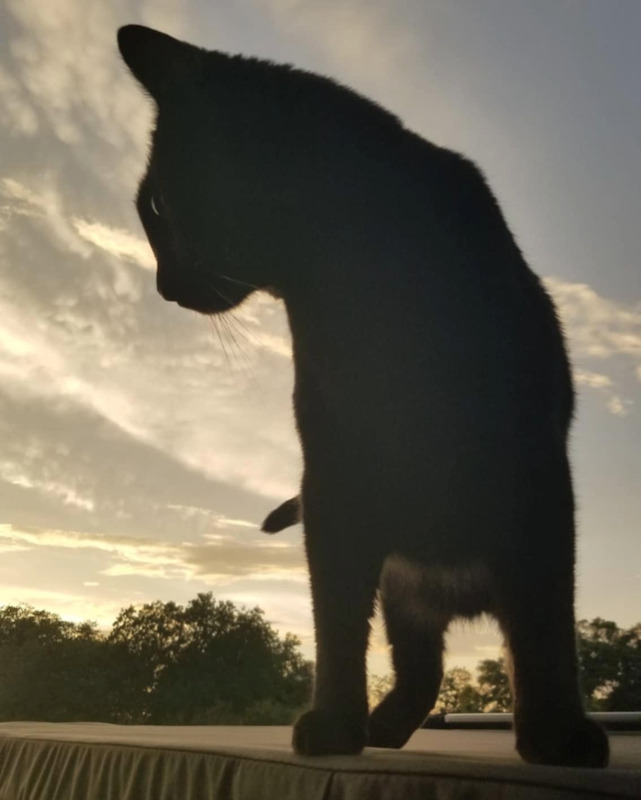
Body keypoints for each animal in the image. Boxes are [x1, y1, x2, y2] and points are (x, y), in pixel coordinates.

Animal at [117, 23, 608, 764]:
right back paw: (382, 725)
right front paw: (334, 724)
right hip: (404, 586)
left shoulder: (537, 474)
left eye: (156, 205)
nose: (163, 287)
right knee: (420, 667)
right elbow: (337, 623)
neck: (361, 287)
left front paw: (556, 732)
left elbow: (546, 631)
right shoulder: (333, 476)